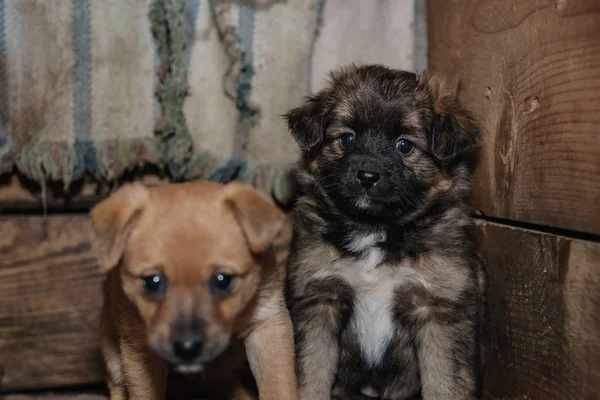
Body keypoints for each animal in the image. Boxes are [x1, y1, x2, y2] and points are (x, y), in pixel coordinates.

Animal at [91, 181, 300, 400]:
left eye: (222, 280)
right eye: (152, 282)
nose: (187, 347)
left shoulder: (267, 324)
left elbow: (279, 387)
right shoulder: (138, 347)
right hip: (113, 356)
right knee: (116, 386)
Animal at [284, 64, 486, 398]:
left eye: (404, 145)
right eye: (347, 138)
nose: (367, 175)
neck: (375, 229)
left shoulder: (438, 309)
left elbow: (445, 384)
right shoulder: (319, 300)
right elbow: (311, 376)